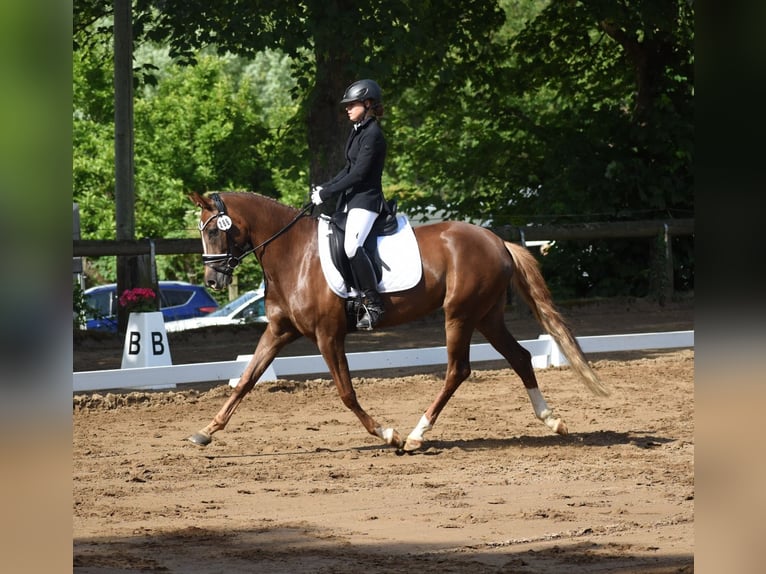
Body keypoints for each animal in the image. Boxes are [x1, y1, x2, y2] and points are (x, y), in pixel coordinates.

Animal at [188, 191, 612, 452]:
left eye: (214, 231)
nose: (212, 281)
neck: (294, 255)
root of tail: (496, 240)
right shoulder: (279, 331)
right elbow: (246, 380)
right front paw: (205, 432)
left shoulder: (328, 335)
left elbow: (346, 393)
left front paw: (387, 433)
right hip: (486, 316)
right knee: (520, 357)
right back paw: (552, 421)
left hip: (459, 314)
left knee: (458, 370)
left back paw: (415, 435)